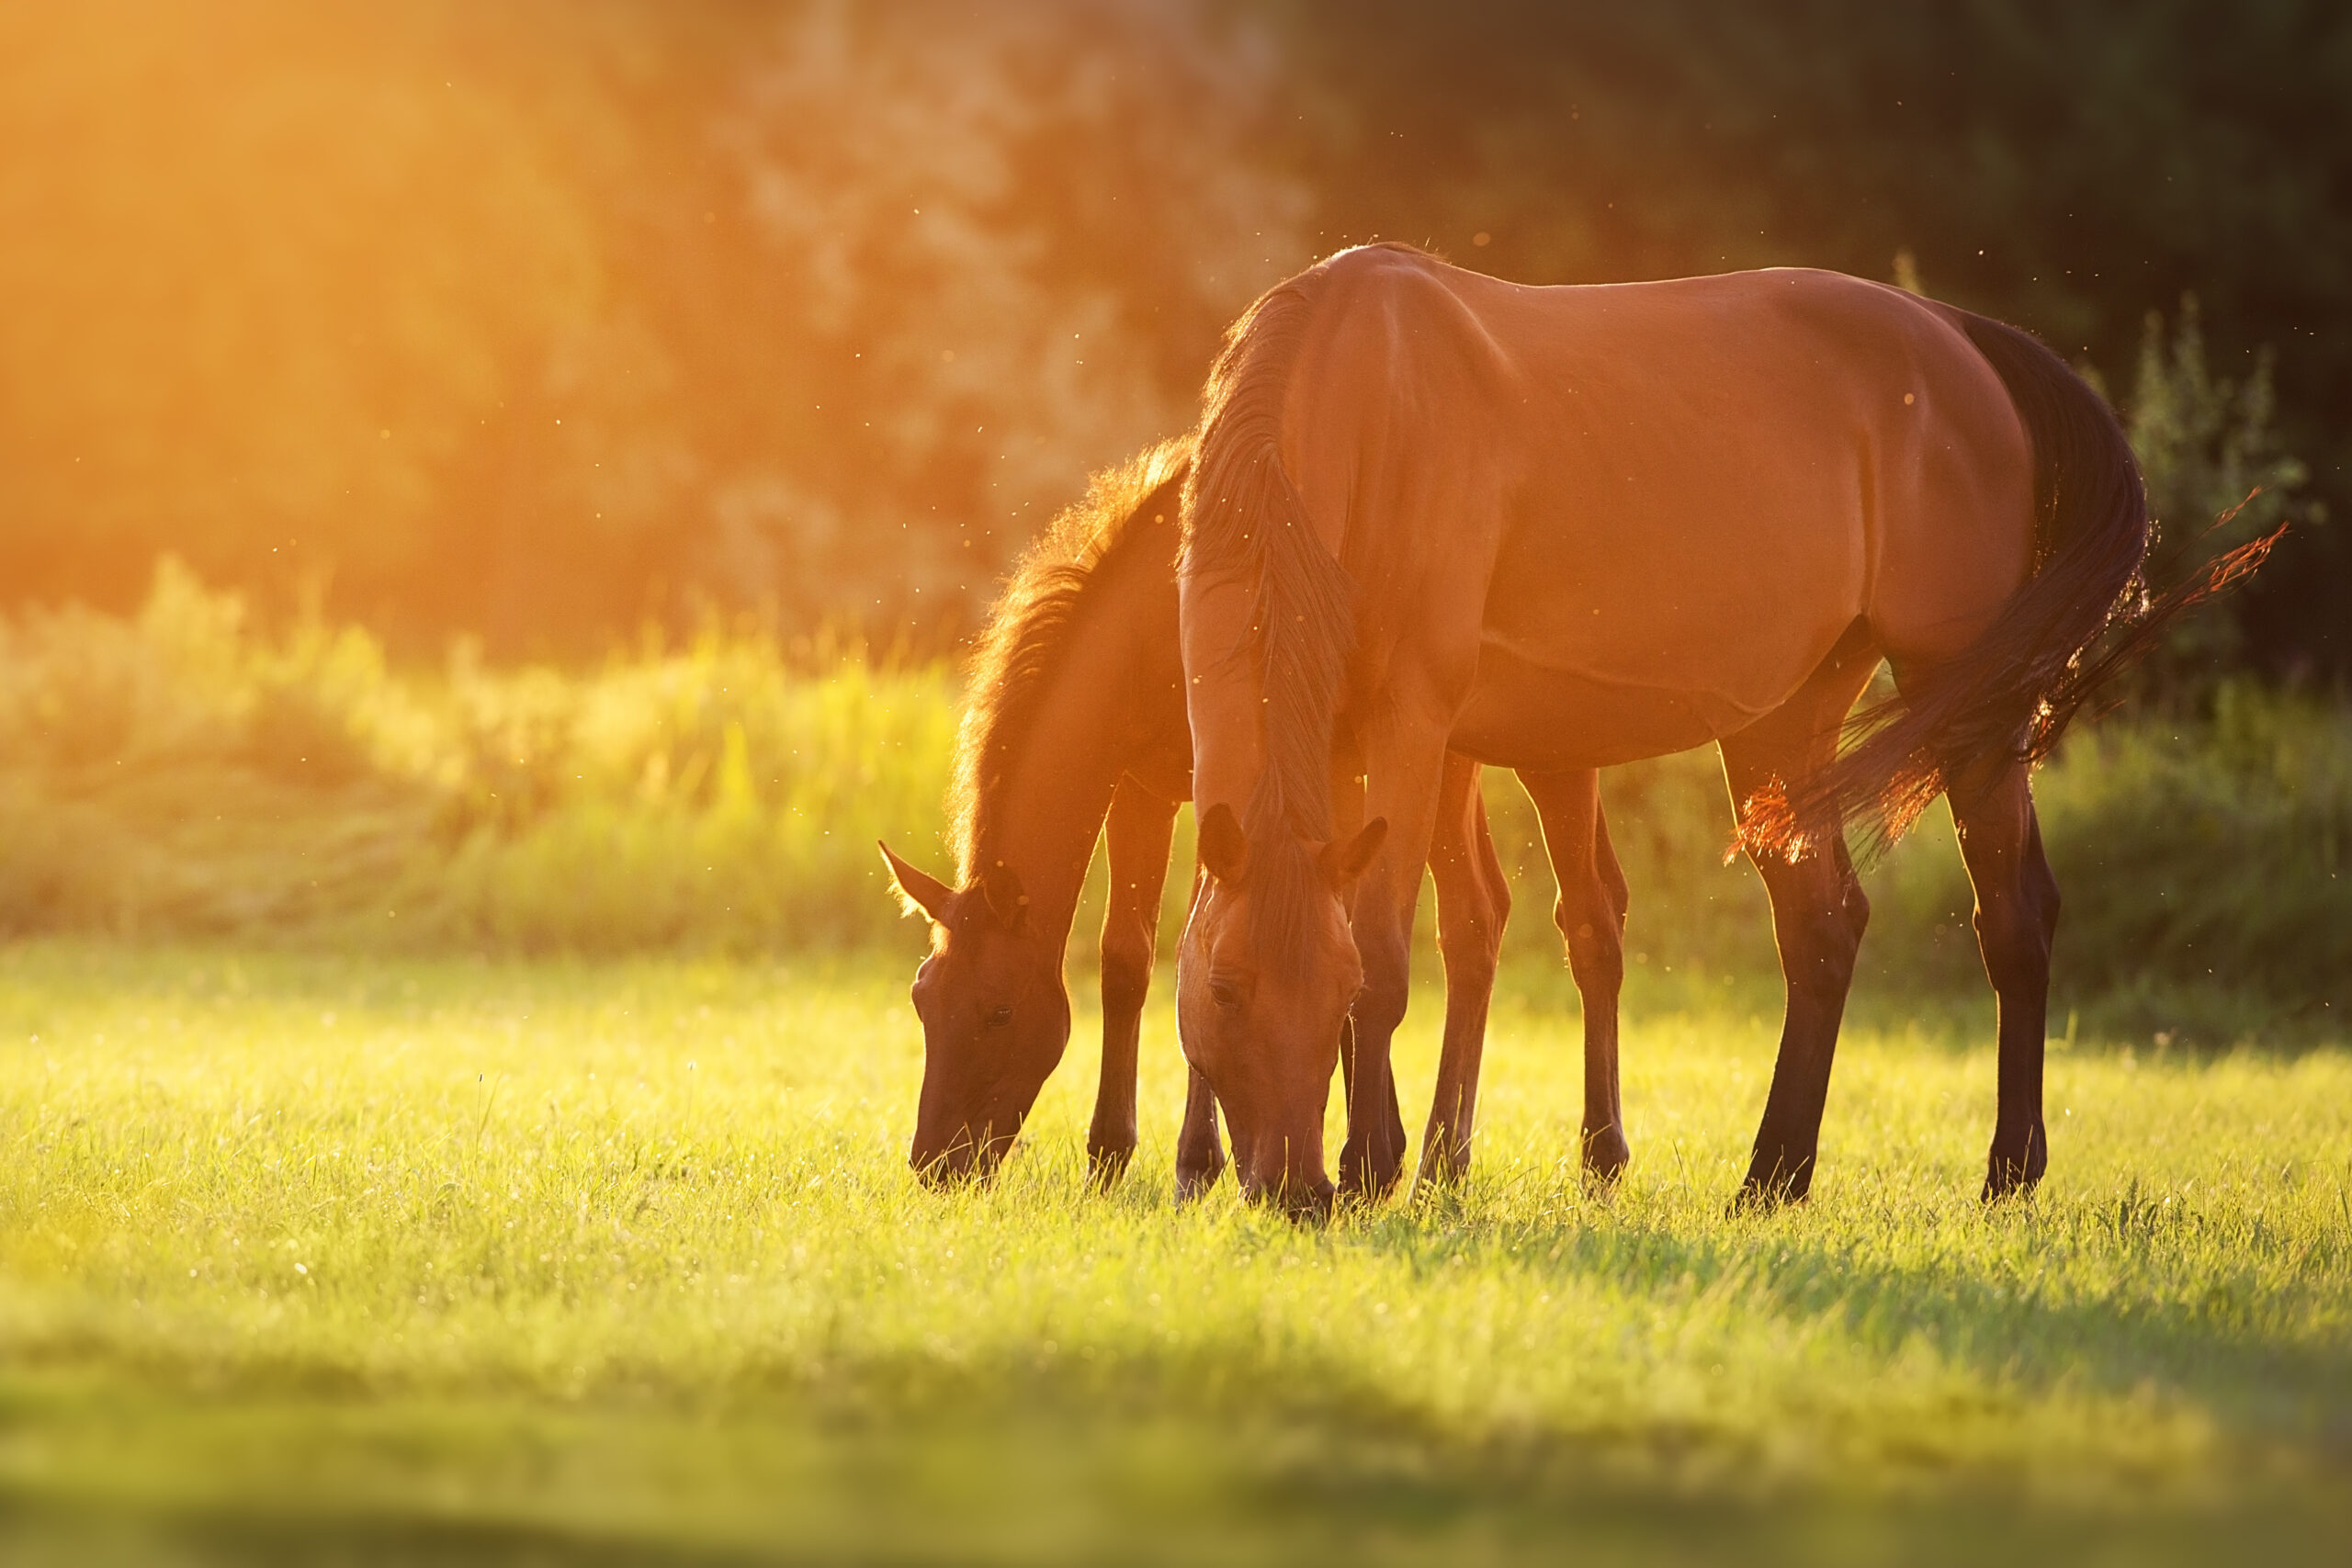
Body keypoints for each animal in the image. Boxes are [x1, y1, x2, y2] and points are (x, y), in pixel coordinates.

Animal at [884, 442, 1636, 1189]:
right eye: (922, 998)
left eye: (999, 1010)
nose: (934, 1162)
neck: (1149, 618)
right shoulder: (1143, 788)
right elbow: (1129, 957)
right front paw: (1113, 1153)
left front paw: (1197, 1158)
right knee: (1485, 916)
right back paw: (1439, 1161)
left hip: (1538, 759)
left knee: (1574, 918)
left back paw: (1577, 1154)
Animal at [1185, 251, 2267, 1222]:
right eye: (1227, 991)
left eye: (1328, 990)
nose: (1294, 1190)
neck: (1363, 399)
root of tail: (1961, 337)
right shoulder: (1340, 744)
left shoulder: (1412, 726)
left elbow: (1386, 950)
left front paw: (1372, 1163)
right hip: (1782, 725)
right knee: (1822, 928)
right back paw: (1773, 1175)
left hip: (1964, 703)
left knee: (2013, 915)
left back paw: (2006, 1173)